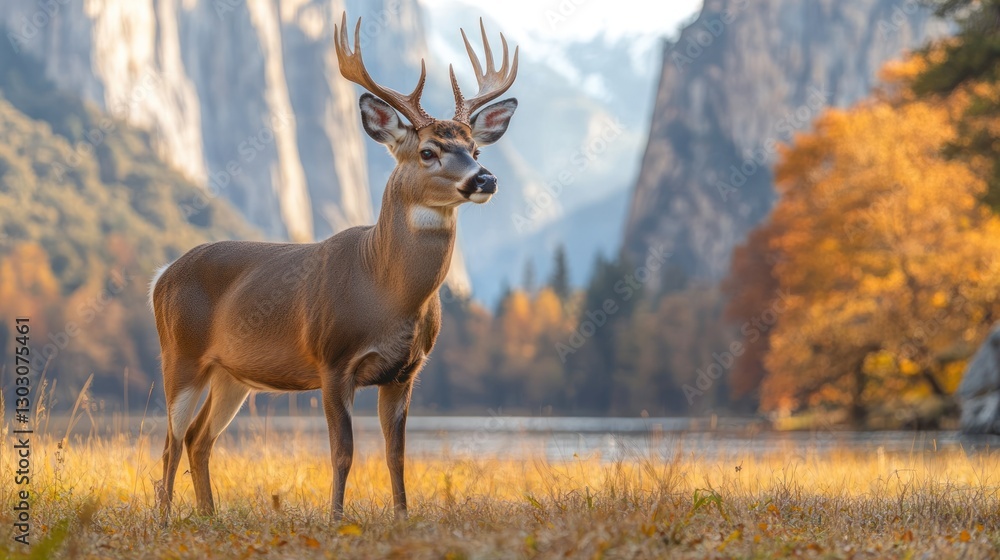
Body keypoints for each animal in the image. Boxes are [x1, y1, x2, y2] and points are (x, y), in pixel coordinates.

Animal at [154, 12, 524, 520]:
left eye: (476, 149)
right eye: (428, 151)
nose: (485, 179)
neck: (386, 292)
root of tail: (160, 278)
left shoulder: (406, 372)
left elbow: (396, 454)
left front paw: (402, 516)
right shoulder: (331, 359)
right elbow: (342, 452)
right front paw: (335, 518)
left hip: (231, 373)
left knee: (198, 437)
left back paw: (209, 516)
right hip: (180, 353)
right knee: (170, 440)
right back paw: (165, 518)